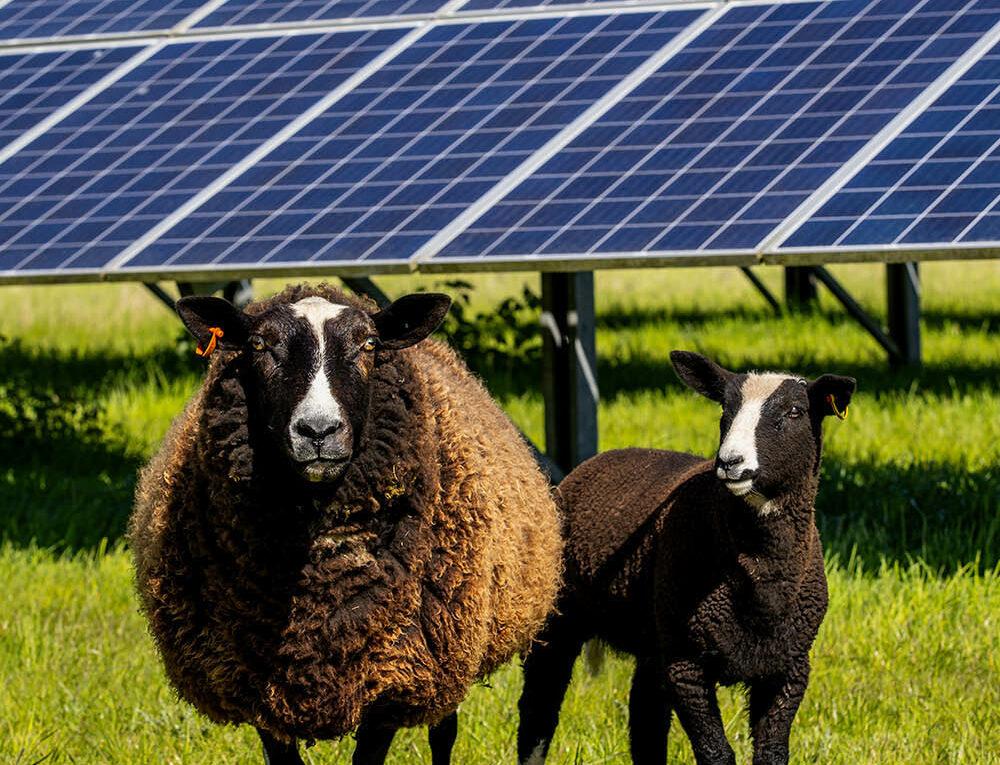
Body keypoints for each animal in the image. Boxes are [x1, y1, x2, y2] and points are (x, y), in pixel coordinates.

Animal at [128, 282, 564, 764]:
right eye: (259, 345)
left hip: (451, 649)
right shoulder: (257, 690)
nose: (318, 431)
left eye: (368, 344)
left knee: (443, 731)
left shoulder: (394, 679)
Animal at [520, 350, 856, 764]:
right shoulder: (686, 664)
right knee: (539, 710)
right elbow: (716, 753)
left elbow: (772, 754)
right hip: (562, 617)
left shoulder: (788, 668)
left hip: (654, 638)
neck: (761, 582)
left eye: (795, 411)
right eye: (724, 410)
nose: (730, 462)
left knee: (645, 722)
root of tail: (595, 461)